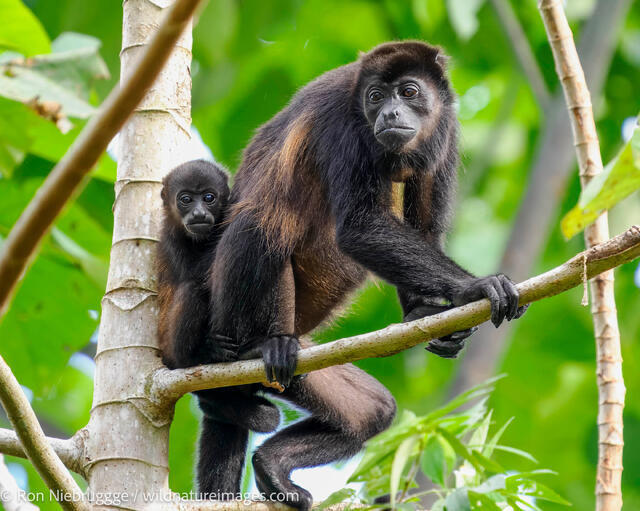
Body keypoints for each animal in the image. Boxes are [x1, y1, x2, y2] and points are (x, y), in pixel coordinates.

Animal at [156, 159, 280, 436]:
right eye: (186, 199)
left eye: (209, 198)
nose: (199, 213)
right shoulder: (171, 237)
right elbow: (195, 274)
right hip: (169, 350)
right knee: (193, 290)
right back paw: (199, 355)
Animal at [202, 41, 528, 509]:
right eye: (375, 97)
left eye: (409, 91)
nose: (388, 113)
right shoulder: (343, 122)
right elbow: (359, 227)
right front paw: (475, 287)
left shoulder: (447, 130)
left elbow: (424, 226)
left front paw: (428, 317)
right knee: (260, 222)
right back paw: (256, 347)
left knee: (372, 411)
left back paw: (272, 463)